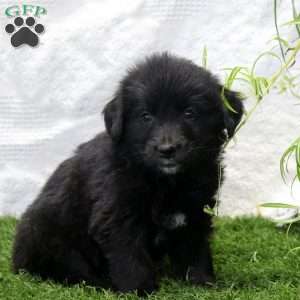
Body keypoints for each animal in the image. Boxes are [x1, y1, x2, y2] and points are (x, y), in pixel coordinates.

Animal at [12, 52, 244, 294]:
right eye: (146, 116)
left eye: (190, 113)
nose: (167, 149)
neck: (165, 183)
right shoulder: (117, 216)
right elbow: (130, 258)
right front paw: (140, 290)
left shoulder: (195, 211)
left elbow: (195, 251)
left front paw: (202, 283)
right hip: (49, 234)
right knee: (67, 268)